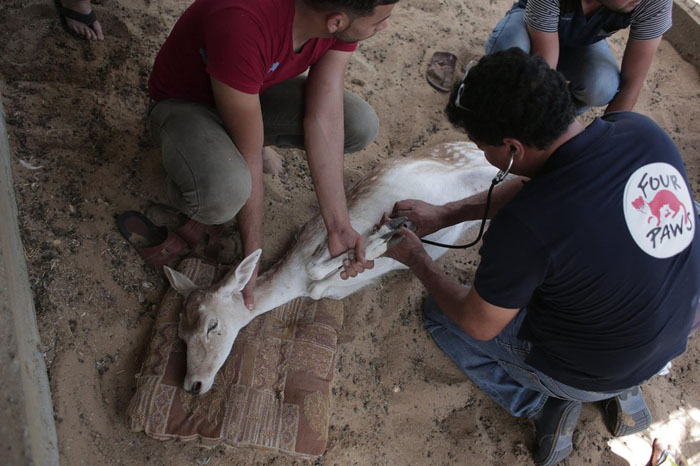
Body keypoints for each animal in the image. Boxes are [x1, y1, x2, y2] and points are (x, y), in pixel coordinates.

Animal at [164, 142, 498, 395]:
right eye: (180, 333)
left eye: (212, 325)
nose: (192, 385)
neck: (294, 279)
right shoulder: (337, 286)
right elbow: (318, 287)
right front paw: (379, 245)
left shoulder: (329, 230)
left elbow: (315, 267)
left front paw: (381, 237)